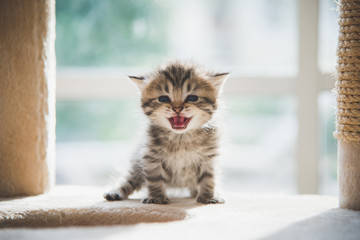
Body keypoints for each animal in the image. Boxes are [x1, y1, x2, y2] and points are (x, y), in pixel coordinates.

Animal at [103, 62, 228, 204]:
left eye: (192, 98)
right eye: (163, 98)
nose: (177, 108)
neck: (181, 138)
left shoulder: (209, 158)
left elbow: (209, 178)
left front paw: (208, 197)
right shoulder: (151, 156)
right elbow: (154, 178)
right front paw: (156, 198)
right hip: (136, 164)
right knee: (129, 179)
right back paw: (115, 192)